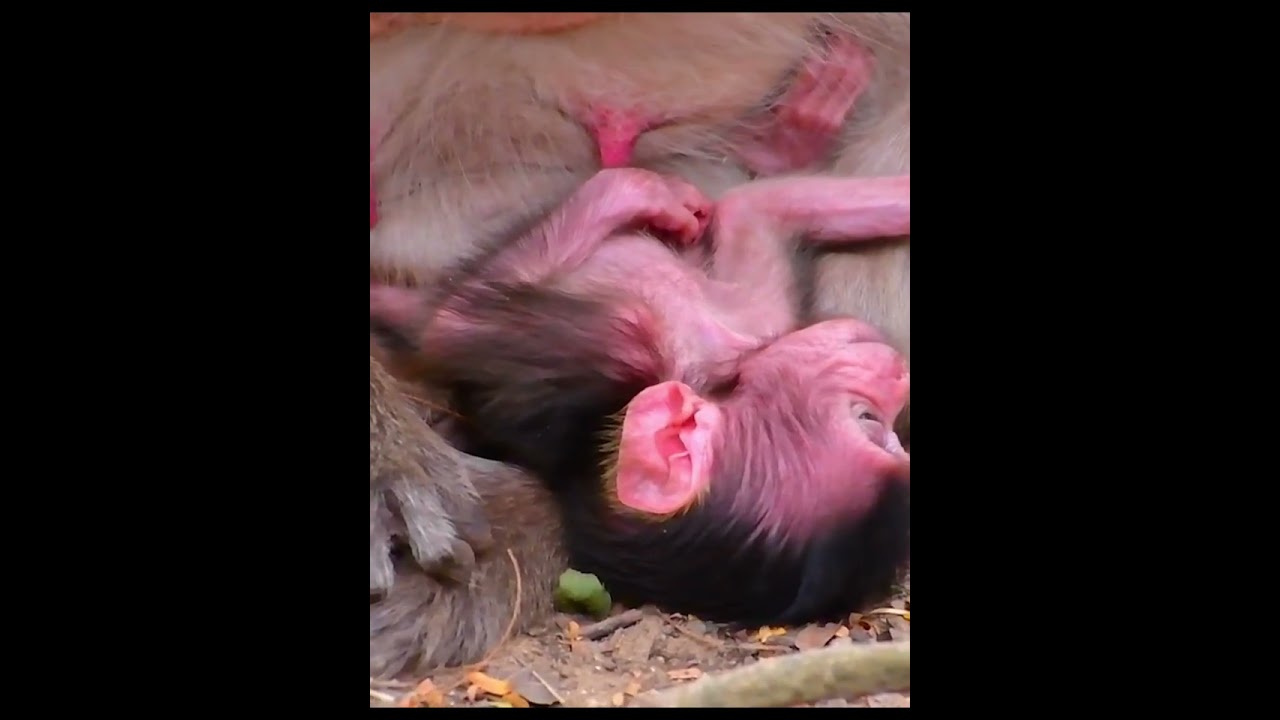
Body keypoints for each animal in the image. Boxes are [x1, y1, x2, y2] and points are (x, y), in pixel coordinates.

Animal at [370, 166, 910, 627]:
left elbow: (451, 324)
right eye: (869, 420)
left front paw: (630, 192)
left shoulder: (619, 345)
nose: (897, 374)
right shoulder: (661, 333)